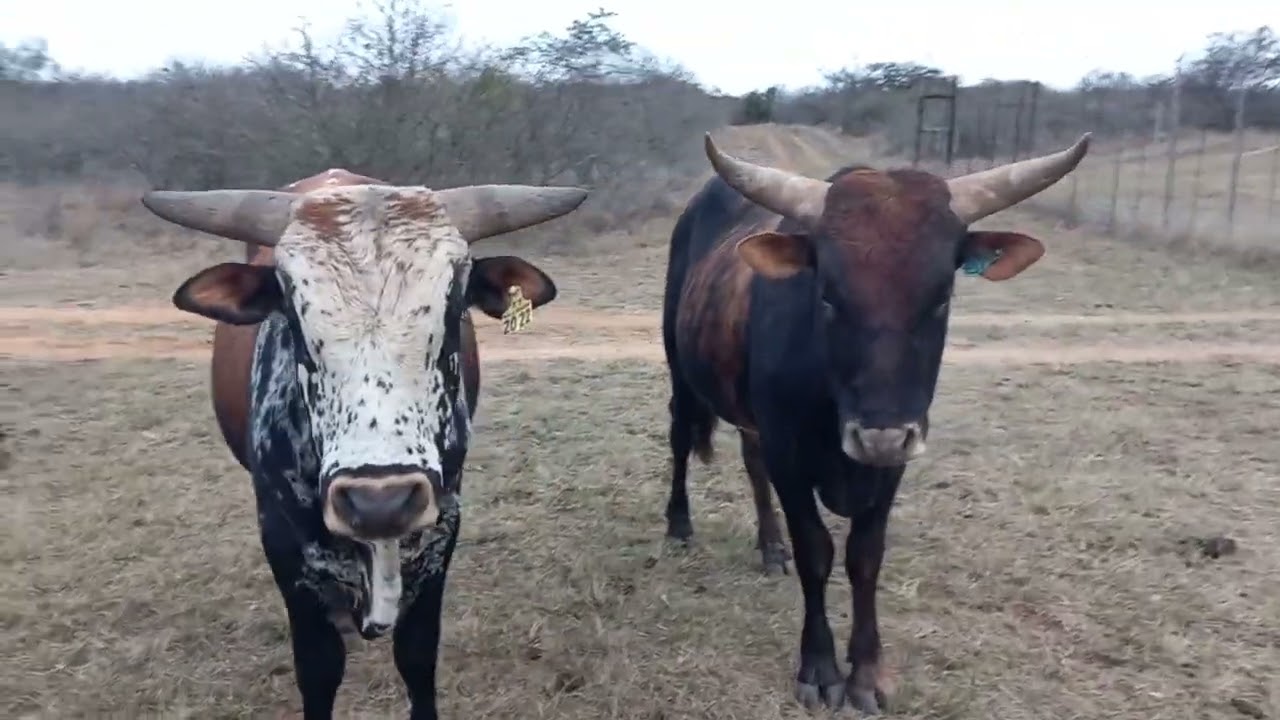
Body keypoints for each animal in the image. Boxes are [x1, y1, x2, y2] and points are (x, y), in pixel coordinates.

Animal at [138, 169, 589, 720]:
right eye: (291, 309)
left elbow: (417, 656)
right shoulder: (282, 543)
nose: (380, 501)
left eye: (454, 303)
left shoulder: (442, 527)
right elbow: (319, 669)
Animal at [660, 133, 1091, 713]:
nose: (879, 435)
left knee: (750, 462)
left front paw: (865, 672)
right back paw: (679, 523)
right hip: (680, 370)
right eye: (826, 294)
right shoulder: (789, 455)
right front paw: (820, 668)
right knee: (680, 437)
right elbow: (817, 550)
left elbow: (865, 557)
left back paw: (770, 546)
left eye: (942, 297)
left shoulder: (893, 462)